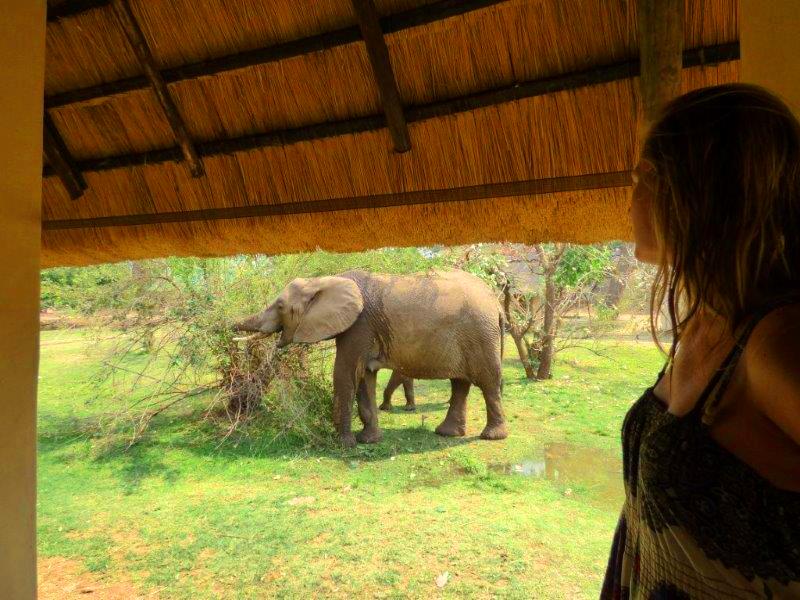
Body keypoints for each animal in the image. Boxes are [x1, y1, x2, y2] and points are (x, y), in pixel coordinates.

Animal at [234, 269, 507, 447]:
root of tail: (495, 301)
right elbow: (365, 377)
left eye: (280, 306)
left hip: (481, 334)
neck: (325, 280)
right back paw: (446, 433)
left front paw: (344, 444)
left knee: (487, 383)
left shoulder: (359, 326)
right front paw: (368, 441)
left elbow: (346, 374)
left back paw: (491, 436)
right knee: (460, 383)